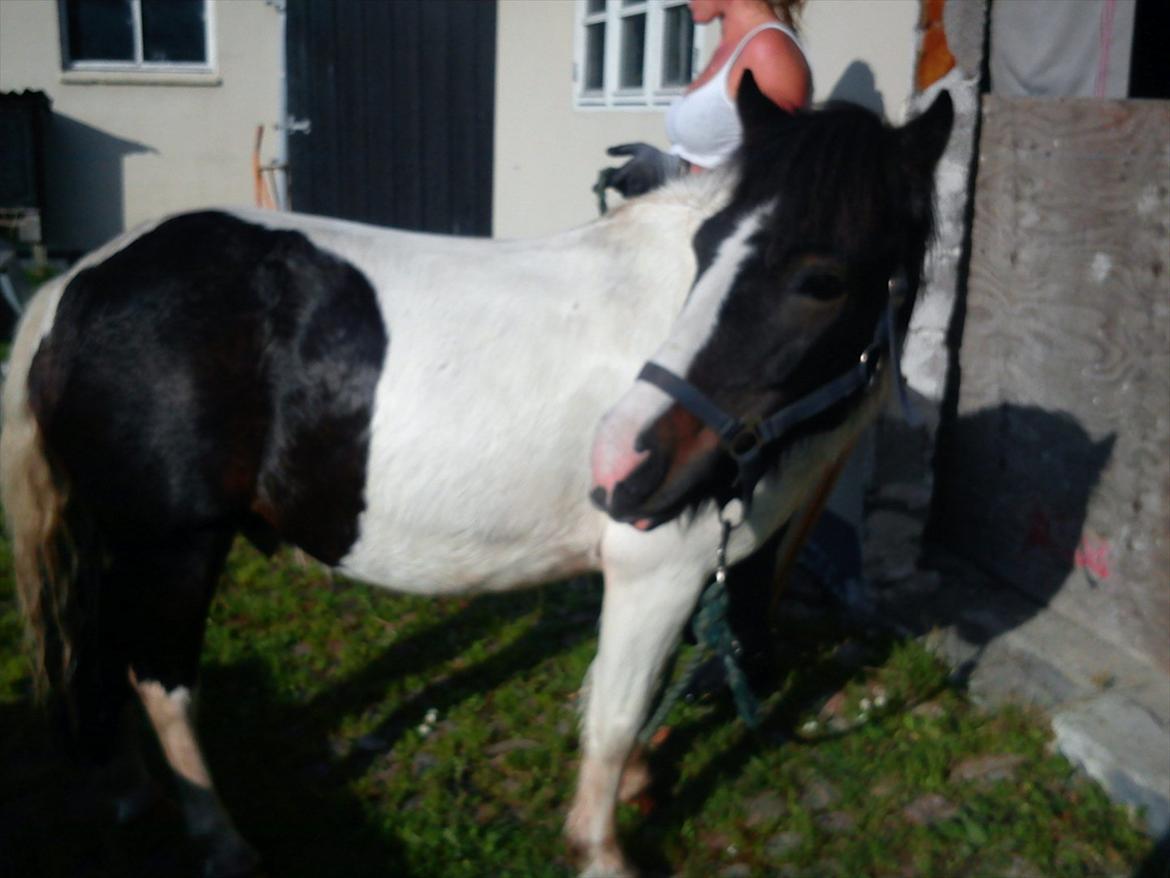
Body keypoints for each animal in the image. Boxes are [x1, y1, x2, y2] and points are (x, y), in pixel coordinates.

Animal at [0, 76, 952, 877]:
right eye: (709, 246)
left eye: (822, 278)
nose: (622, 463)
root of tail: (78, 286)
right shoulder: (658, 569)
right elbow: (614, 712)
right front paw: (601, 849)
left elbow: (637, 698)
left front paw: (642, 784)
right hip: (174, 547)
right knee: (160, 682)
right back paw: (220, 840)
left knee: (103, 653)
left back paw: (132, 794)